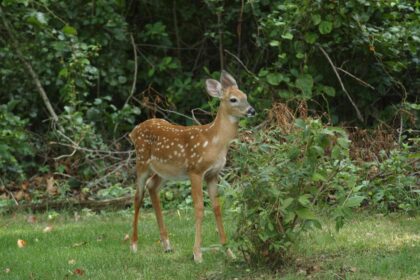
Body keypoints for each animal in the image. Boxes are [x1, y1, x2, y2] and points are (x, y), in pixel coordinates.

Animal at [129, 70, 256, 262]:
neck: (214, 142)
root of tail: (134, 130)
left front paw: (229, 251)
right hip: (142, 160)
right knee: (138, 196)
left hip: (165, 171)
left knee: (152, 186)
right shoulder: (195, 170)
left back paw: (167, 245)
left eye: (245, 96)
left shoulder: (213, 174)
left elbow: (216, 207)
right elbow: (199, 208)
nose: (251, 110)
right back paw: (134, 244)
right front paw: (197, 254)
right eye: (233, 99)